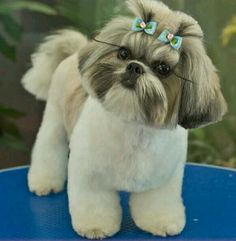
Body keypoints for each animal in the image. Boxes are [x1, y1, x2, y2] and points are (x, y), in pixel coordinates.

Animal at [21, 0, 227, 239]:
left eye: (163, 69)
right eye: (123, 53)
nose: (135, 66)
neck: (134, 125)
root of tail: (75, 53)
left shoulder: (161, 180)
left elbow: (157, 204)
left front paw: (161, 222)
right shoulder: (90, 176)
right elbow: (94, 205)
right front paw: (95, 227)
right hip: (54, 118)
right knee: (49, 148)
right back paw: (43, 182)